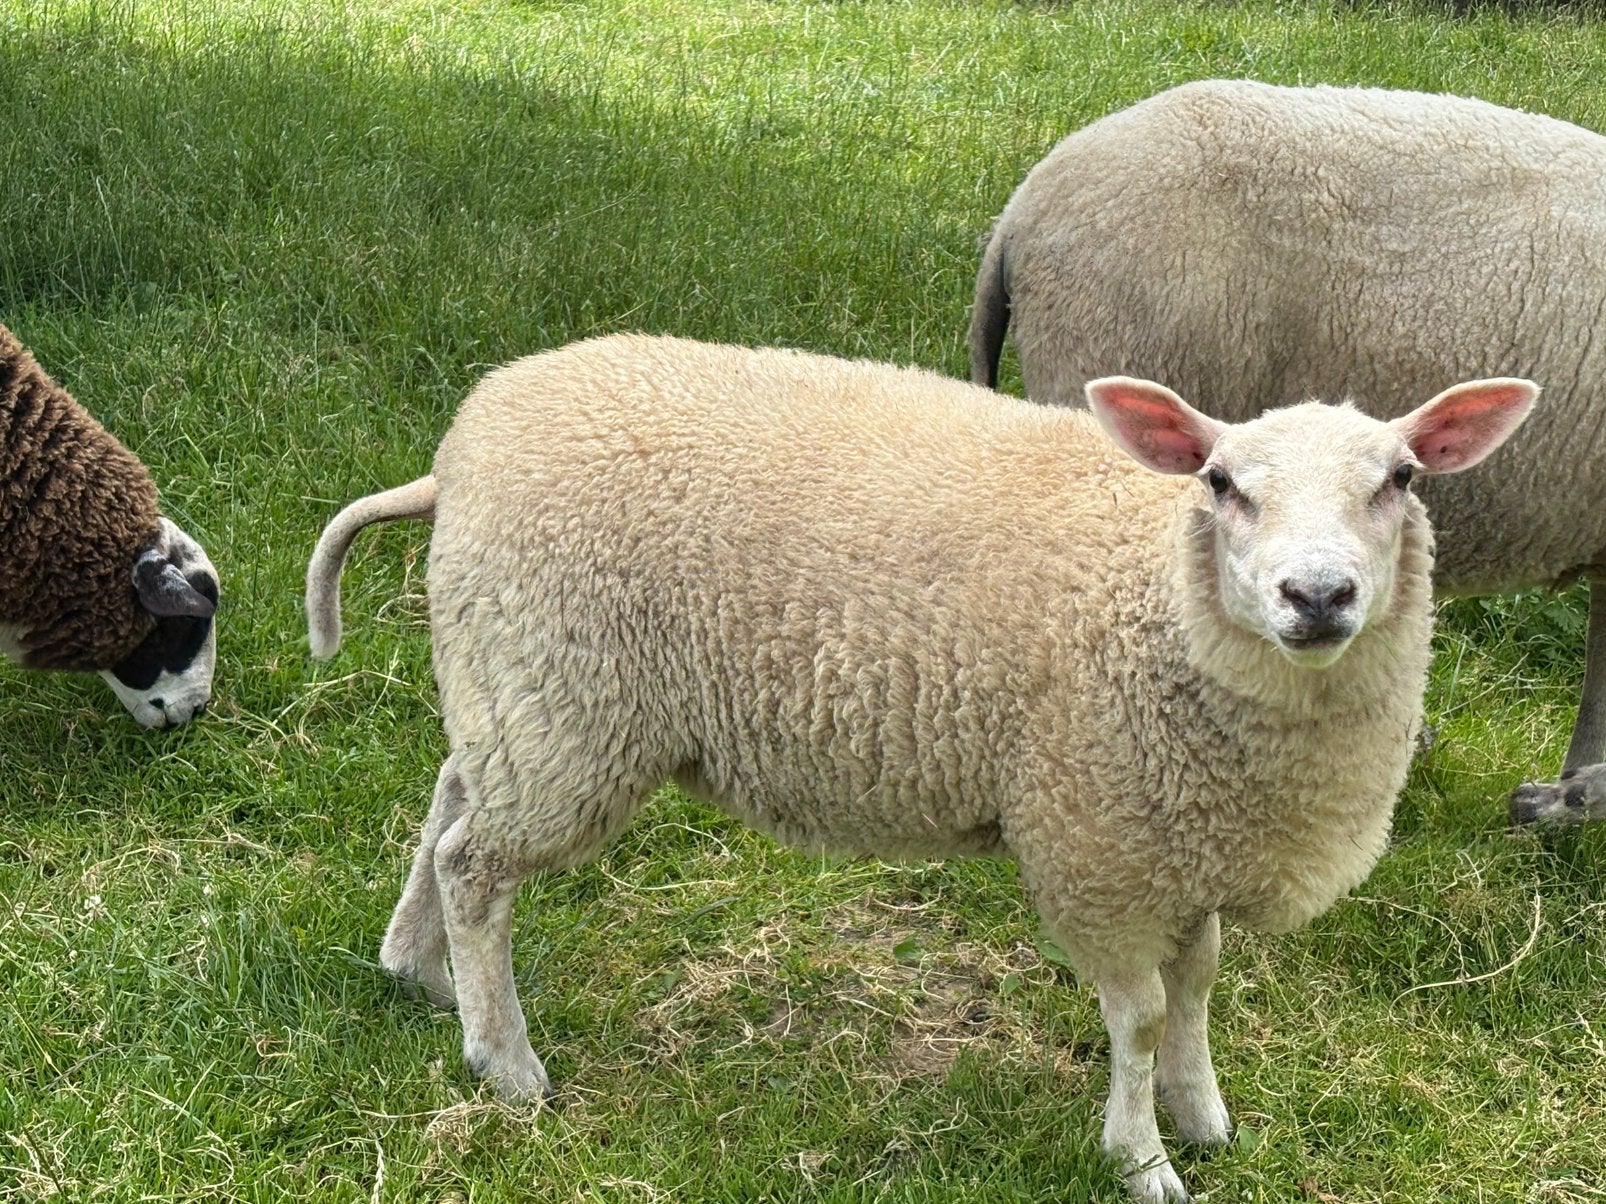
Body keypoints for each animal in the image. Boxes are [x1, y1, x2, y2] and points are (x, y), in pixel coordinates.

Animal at [305, 334, 1534, 1203]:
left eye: (1401, 478)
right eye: (1224, 484)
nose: (1318, 596)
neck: (1154, 604)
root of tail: (456, 454)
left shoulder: (1182, 849)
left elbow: (1196, 992)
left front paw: (1203, 1116)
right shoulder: (1097, 845)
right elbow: (1138, 1018)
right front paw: (1140, 1160)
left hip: (516, 690)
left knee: (449, 804)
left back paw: (418, 972)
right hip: (564, 702)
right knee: (478, 867)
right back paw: (506, 1064)